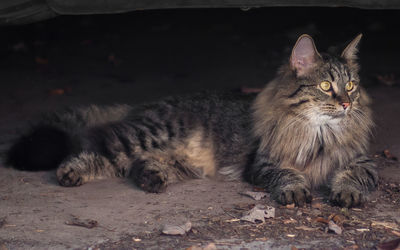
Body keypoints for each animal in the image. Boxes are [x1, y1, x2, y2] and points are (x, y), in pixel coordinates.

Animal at [7, 34, 378, 207]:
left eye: (352, 85)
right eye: (326, 86)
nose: (347, 103)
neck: (321, 134)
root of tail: (147, 104)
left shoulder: (364, 162)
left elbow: (352, 176)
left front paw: (346, 194)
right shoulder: (264, 163)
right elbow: (288, 174)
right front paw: (296, 189)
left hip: (182, 161)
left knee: (137, 165)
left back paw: (153, 179)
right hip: (149, 136)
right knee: (99, 149)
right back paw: (70, 172)